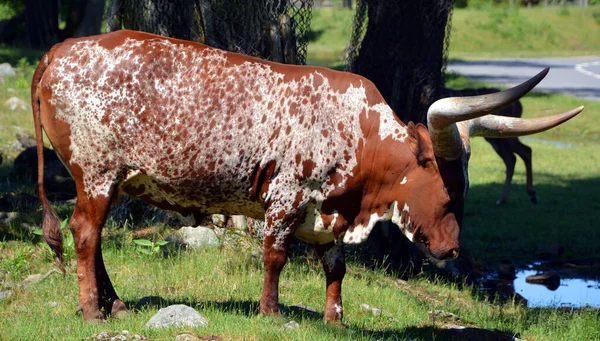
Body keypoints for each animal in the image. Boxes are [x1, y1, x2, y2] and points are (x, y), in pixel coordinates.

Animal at [31, 29, 580, 322]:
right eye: (447, 191)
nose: (450, 251)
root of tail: (60, 49)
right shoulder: (285, 196)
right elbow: (275, 256)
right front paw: (271, 313)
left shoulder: (329, 210)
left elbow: (335, 267)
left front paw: (334, 317)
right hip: (97, 172)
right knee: (85, 233)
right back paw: (94, 311)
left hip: (108, 178)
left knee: (93, 238)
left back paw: (117, 304)